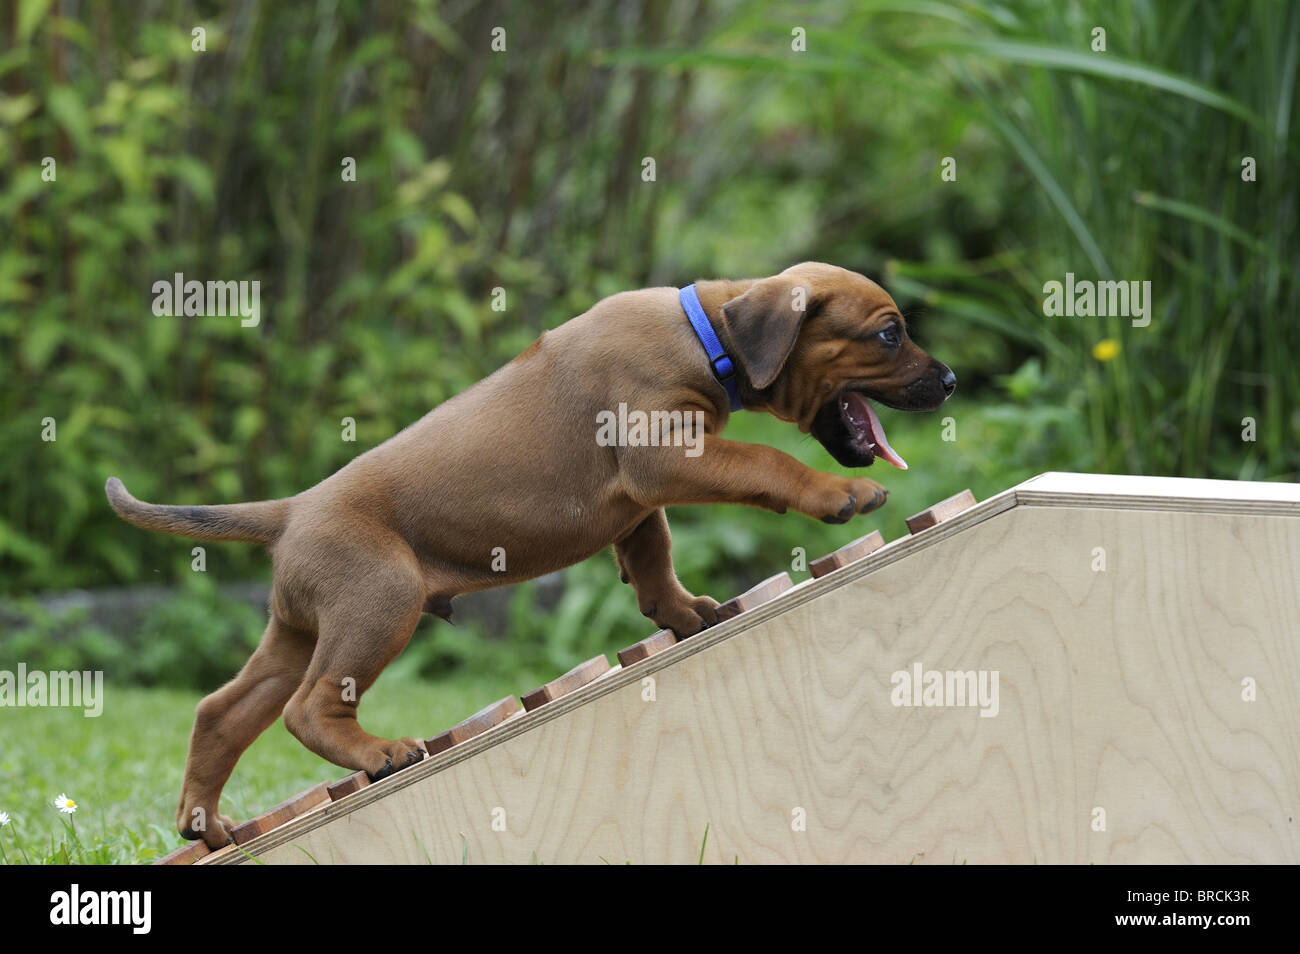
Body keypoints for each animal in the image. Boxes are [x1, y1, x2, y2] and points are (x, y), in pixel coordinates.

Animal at [104, 259, 956, 842]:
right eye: (889, 333)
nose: (949, 381)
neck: (706, 332)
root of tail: (289, 513)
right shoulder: (667, 456)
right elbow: (765, 464)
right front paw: (835, 494)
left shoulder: (639, 498)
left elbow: (652, 560)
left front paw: (682, 613)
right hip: (378, 600)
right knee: (306, 707)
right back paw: (379, 752)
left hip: (301, 625)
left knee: (224, 709)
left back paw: (203, 821)